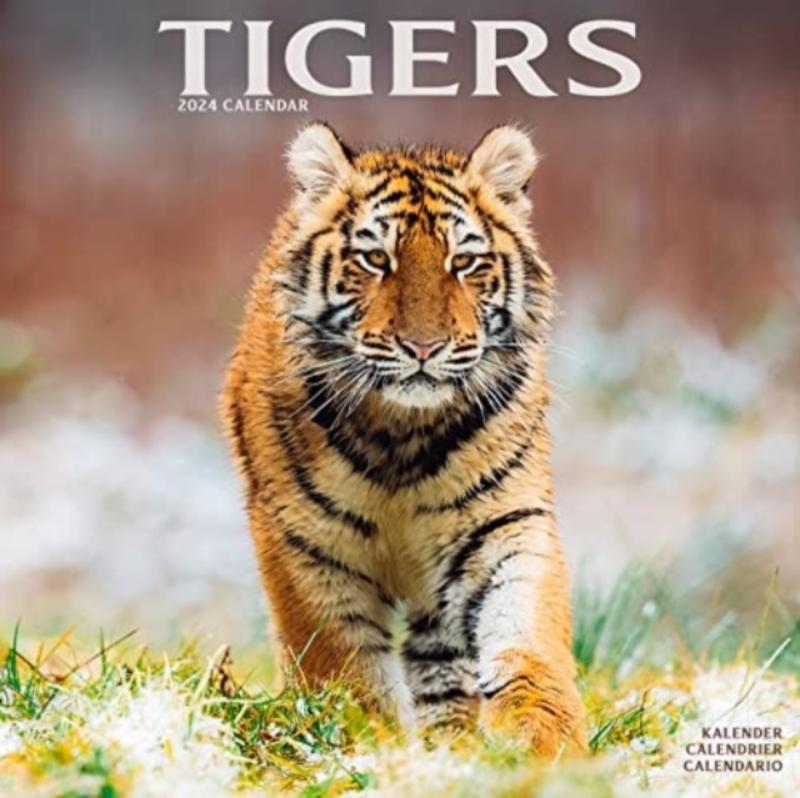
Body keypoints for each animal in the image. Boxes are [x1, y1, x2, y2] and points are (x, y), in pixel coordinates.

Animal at [221, 121, 587, 756]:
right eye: (375, 258)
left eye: (464, 262)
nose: (424, 347)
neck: (402, 433)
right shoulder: (307, 545)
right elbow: (341, 662)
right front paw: (366, 740)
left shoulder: (503, 523)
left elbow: (525, 629)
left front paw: (546, 738)